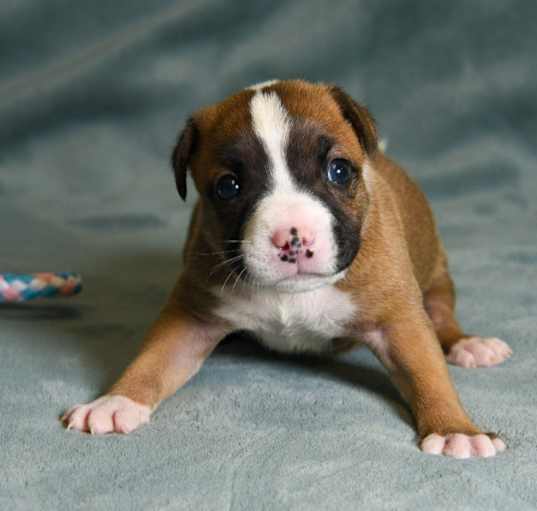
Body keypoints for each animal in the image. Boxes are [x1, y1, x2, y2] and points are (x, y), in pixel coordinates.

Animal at [62, 79, 510, 460]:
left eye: (339, 170)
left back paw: (467, 343)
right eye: (228, 187)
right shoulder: (190, 318)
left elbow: (426, 370)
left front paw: (456, 430)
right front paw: (117, 400)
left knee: (441, 313)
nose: (292, 237)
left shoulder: (398, 321)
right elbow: (155, 358)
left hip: (435, 275)